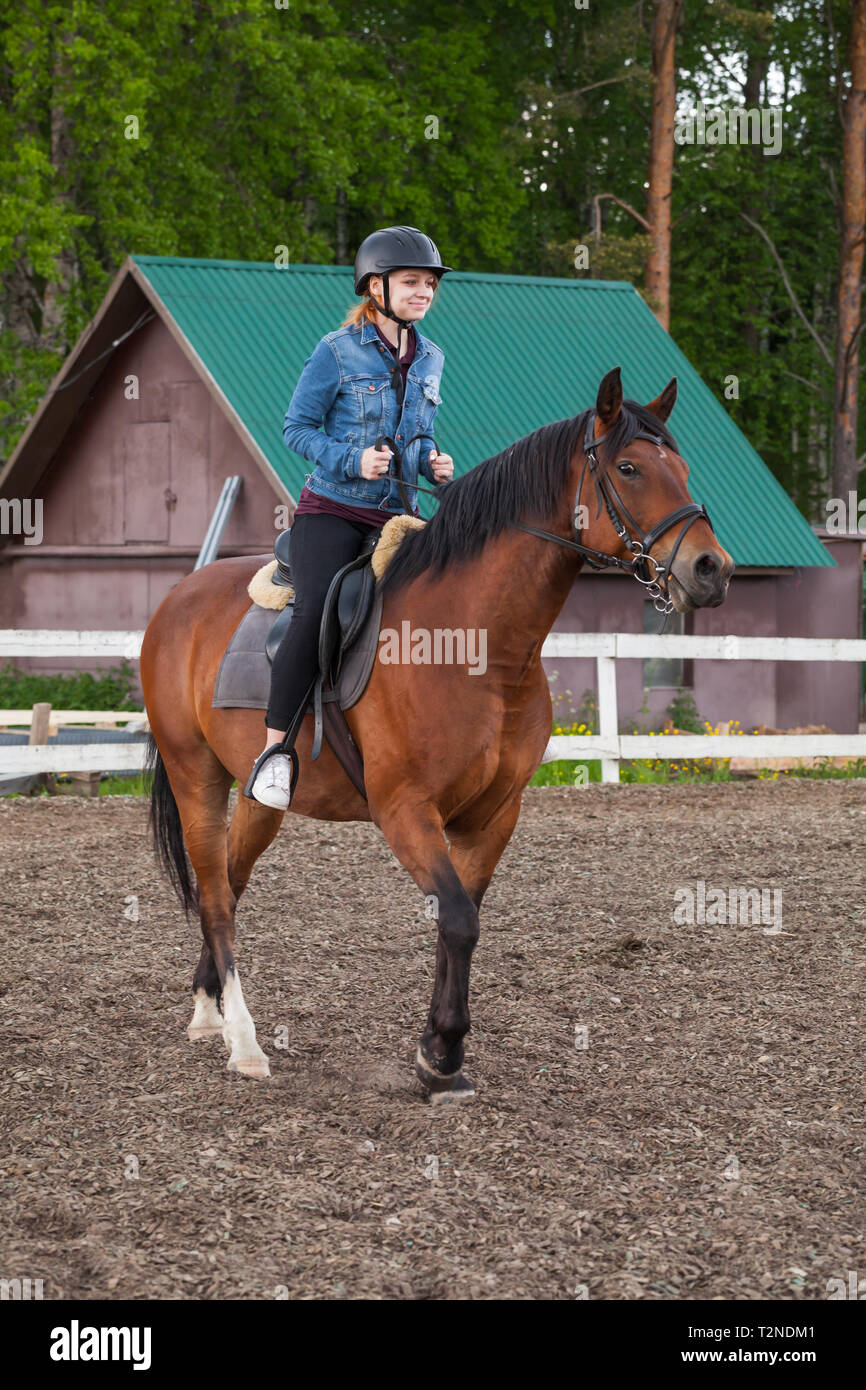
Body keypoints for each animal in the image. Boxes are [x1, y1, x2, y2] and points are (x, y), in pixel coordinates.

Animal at [140, 366, 734, 1100]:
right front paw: (443, 1053)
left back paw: (209, 1011)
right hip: (196, 775)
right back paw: (245, 1042)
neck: (479, 647)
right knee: (218, 897)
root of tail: (178, 598)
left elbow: (463, 922)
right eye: (629, 468)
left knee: (228, 880)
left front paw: (438, 1055)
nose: (713, 569)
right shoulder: (404, 809)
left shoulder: (491, 817)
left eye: (682, 468)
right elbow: (456, 917)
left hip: (258, 799)